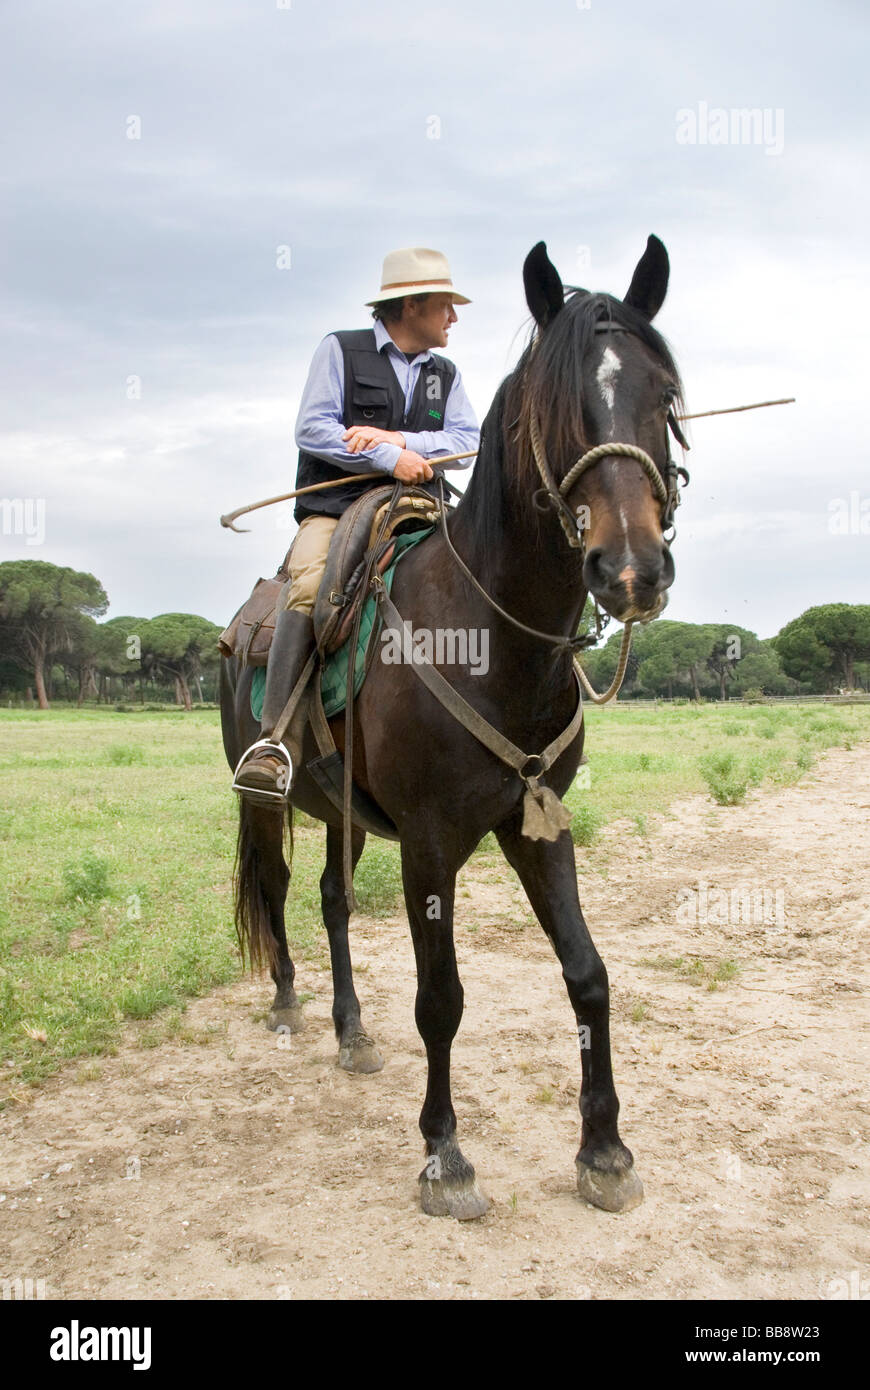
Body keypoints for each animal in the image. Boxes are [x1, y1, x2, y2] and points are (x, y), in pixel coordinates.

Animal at [219, 234, 686, 1219]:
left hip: (346, 814)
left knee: (331, 898)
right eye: (558, 405)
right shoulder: (431, 844)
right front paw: (445, 1155)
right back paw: (286, 1002)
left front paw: (605, 1151)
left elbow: (588, 974)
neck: (491, 637)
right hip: (262, 796)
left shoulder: (538, 824)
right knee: (276, 889)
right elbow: (442, 998)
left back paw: (351, 1031)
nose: (631, 569)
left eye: (664, 397)